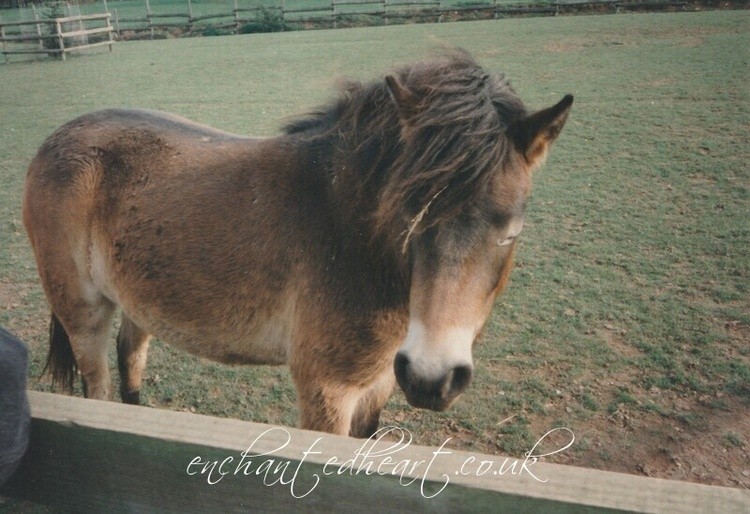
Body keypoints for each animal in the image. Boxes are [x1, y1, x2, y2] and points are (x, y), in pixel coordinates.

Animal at [23, 51, 572, 438]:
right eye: (408, 217)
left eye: (511, 228)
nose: (431, 378)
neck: (350, 236)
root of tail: (56, 140)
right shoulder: (327, 390)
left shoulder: (378, 383)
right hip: (83, 316)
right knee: (98, 385)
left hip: (142, 300)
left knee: (131, 358)